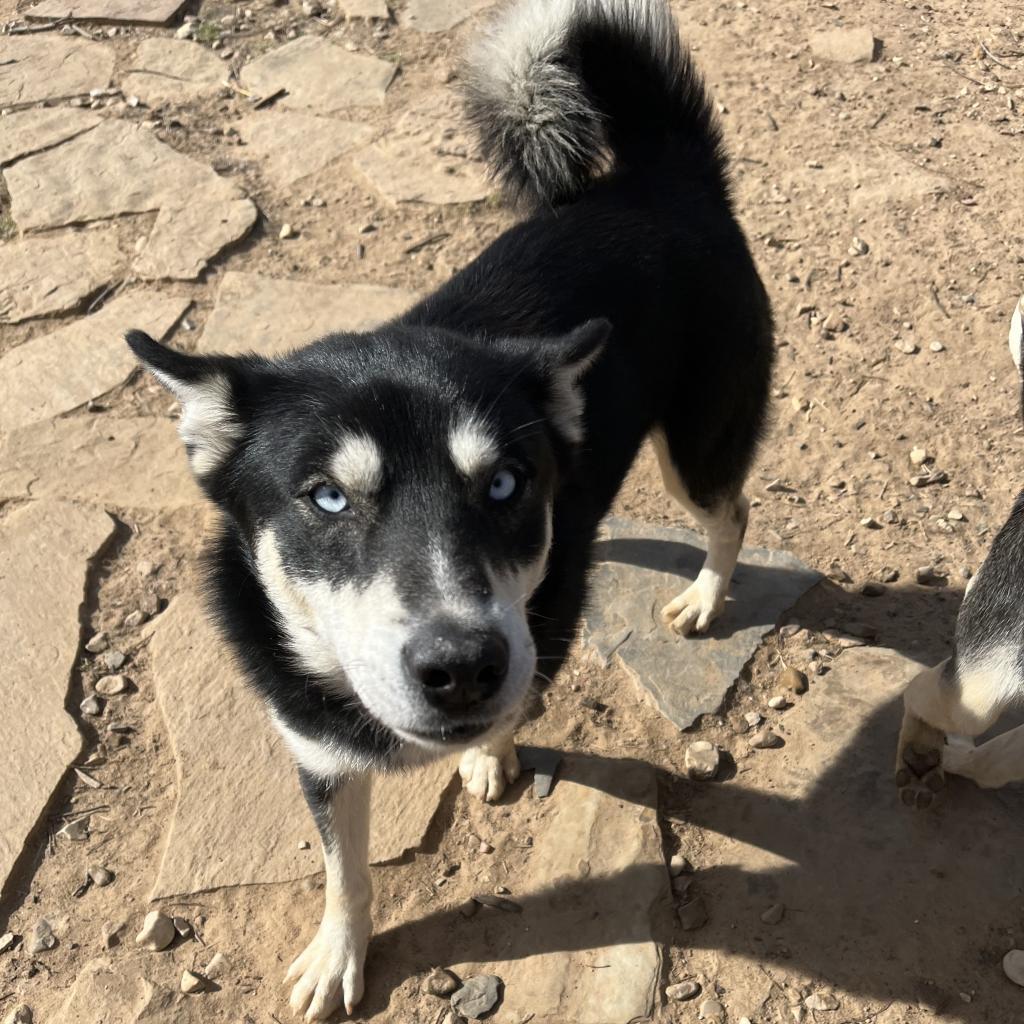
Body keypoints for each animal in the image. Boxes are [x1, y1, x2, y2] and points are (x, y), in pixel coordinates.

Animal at [125, 2, 770, 1015]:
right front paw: (337, 954)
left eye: (502, 483)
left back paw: (706, 596)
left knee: (728, 510)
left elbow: (519, 700)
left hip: (697, 444)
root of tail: (663, 174)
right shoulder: (317, 752)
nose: (462, 667)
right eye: (327, 497)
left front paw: (491, 755)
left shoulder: (544, 622)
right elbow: (343, 870)